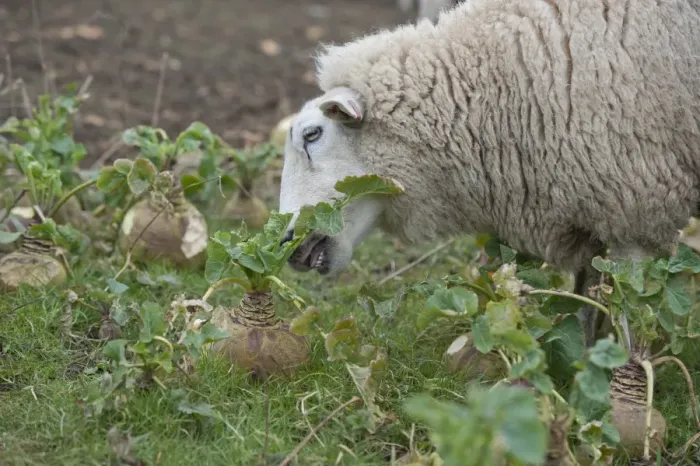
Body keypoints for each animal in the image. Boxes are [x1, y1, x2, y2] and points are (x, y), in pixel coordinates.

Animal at [278, 0, 700, 348]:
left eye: (312, 135)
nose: (286, 242)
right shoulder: (590, 204)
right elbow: (585, 298)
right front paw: (583, 360)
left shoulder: (637, 205)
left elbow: (632, 313)